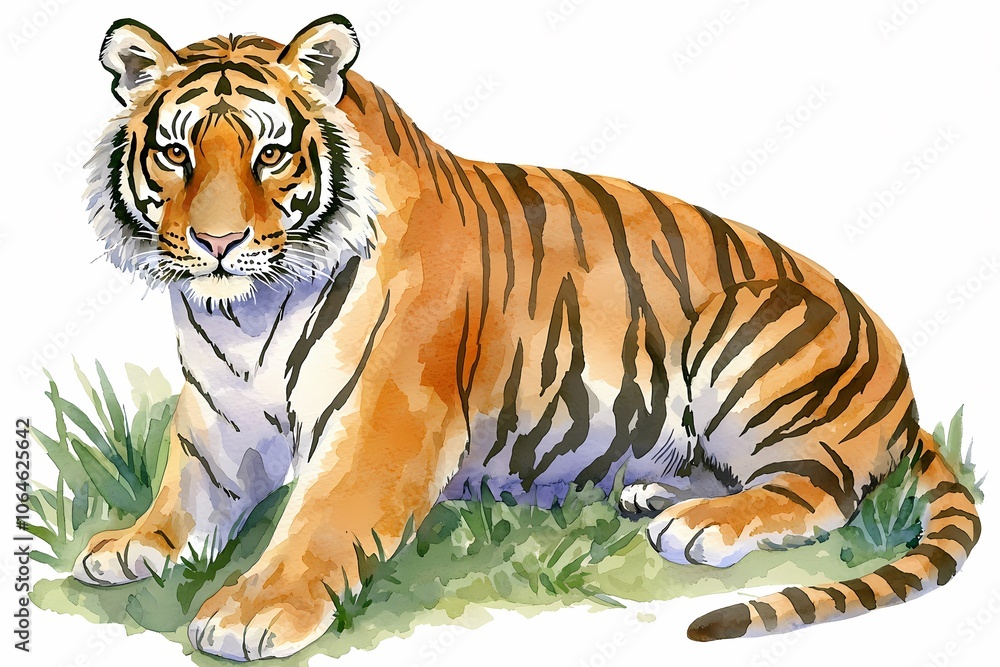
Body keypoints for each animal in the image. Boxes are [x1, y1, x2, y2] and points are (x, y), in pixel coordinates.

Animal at [74, 14, 980, 661]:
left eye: (268, 156)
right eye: (176, 152)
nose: (218, 242)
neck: (246, 311)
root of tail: (904, 385)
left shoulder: (385, 421)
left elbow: (319, 520)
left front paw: (251, 612)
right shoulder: (221, 415)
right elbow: (187, 488)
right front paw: (136, 545)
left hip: (753, 330)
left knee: (821, 491)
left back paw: (703, 526)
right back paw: (658, 496)